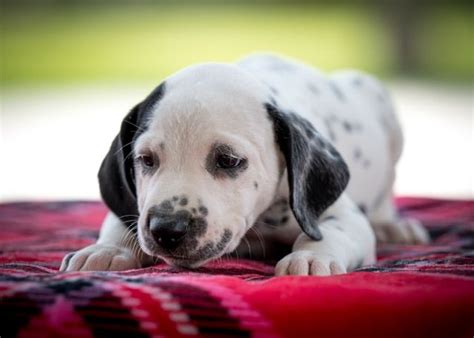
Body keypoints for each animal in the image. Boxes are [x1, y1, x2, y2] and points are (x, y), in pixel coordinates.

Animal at [60, 52, 430, 274]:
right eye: (145, 160)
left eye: (228, 160)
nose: (166, 229)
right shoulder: (137, 204)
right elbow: (122, 219)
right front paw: (106, 249)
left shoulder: (336, 212)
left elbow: (333, 232)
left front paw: (312, 257)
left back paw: (392, 224)